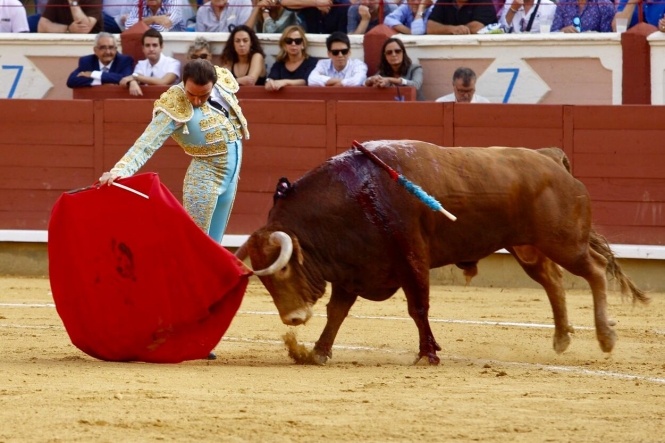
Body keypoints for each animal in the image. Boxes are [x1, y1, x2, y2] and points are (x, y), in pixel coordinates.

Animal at [236, 140, 644, 364]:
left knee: (594, 270)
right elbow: (337, 313)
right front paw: (318, 353)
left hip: (564, 242)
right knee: (553, 281)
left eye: (282, 270)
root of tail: (551, 157)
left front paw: (428, 354)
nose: (292, 319)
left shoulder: (411, 257)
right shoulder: (354, 268)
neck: (356, 196)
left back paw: (605, 337)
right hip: (527, 247)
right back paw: (561, 338)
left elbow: (418, 307)